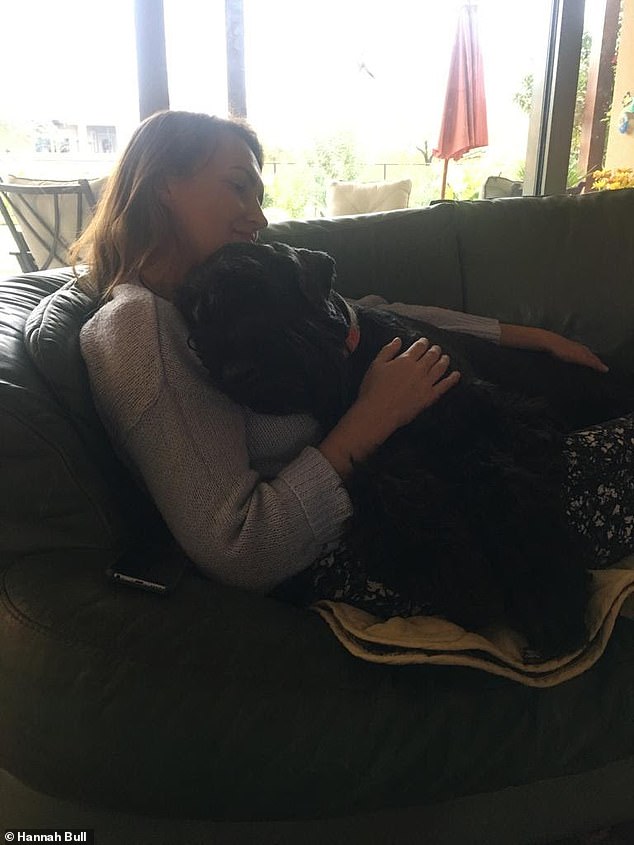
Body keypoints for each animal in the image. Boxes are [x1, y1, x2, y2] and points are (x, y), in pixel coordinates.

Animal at [177, 241, 632, 656]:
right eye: (196, 330)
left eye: (255, 288)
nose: (235, 374)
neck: (357, 363)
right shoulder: (381, 450)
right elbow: (389, 490)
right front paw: (459, 573)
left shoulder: (502, 424)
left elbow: (507, 491)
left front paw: (551, 601)